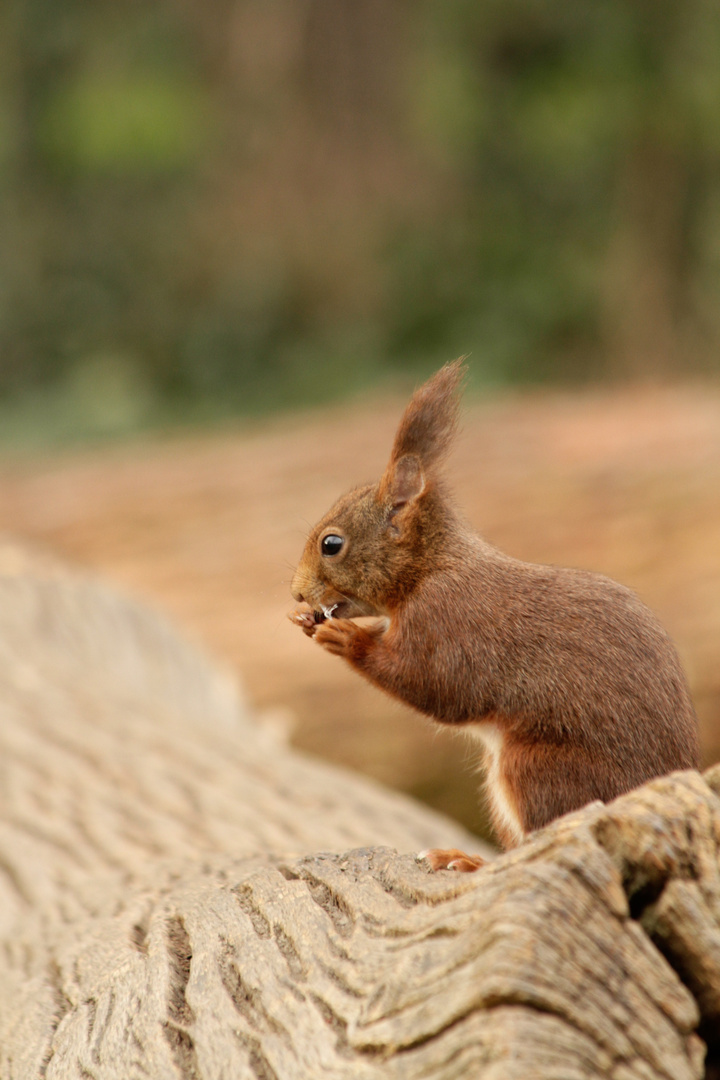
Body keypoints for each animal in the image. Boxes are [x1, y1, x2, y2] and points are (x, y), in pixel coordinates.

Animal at [287, 360, 699, 868]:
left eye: (331, 544)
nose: (296, 593)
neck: (431, 568)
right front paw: (309, 624)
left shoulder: (452, 623)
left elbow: (437, 685)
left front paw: (346, 640)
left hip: (537, 770)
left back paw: (472, 862)